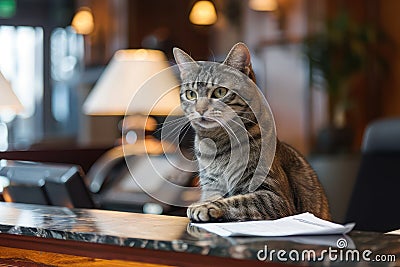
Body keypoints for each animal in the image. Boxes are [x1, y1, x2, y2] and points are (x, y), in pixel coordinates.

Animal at [173, 42, 330, 222]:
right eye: (191, 94)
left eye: (220, 92)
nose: (200, 110)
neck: (217, 142)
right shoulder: (210, 185)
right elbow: (215, 195)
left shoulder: (274, 197)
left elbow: (238, 200)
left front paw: (204, 206)